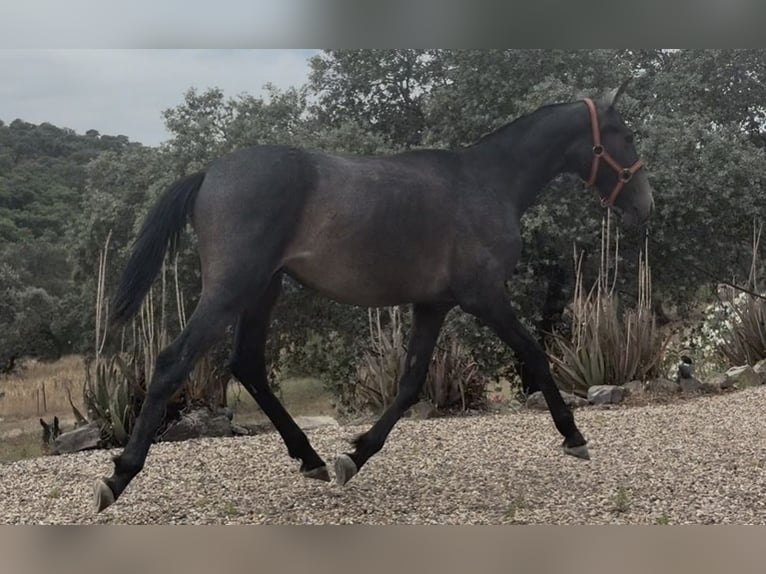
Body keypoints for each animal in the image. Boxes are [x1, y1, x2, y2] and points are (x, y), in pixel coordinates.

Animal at [93, 80, 654, 512]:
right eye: (624, 134)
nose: (645, 203)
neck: (487, 182)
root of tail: (211, 172)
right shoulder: (484, 296)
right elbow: (535, 353)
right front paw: (574, 437)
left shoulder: (434, 304)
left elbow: (409, 383)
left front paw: (354, 455)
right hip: (232, 289)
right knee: (174, 361)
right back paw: (117, 477)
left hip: (262, 289)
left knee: (247, 364)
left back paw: (312, 459)